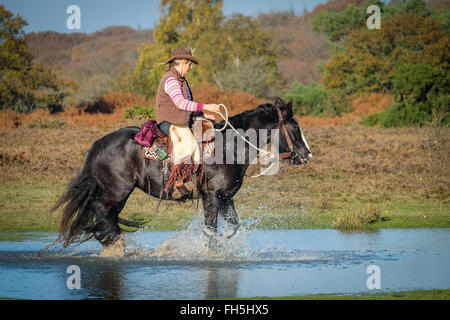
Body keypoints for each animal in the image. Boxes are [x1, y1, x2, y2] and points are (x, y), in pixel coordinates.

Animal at [53, 97, 312, 255]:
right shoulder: (212, 196)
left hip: (119, 195)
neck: (229, 147)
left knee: (107, 216)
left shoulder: (226, 197)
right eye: (294, 127)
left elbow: (233, 227)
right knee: (100, 210)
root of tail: (98, 144)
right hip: (116, 191)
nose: (307, 155)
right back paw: (115, 244)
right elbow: (210, 230)